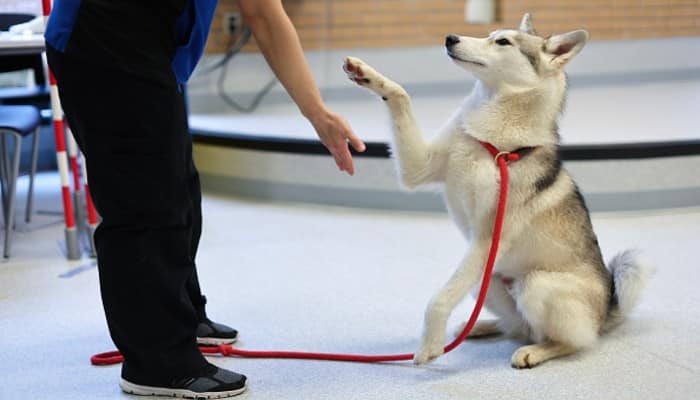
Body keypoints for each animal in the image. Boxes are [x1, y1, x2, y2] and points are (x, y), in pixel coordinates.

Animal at [344, 13, 656, 368]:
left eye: (503, 42)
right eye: (488, 34)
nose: (450, 38)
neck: (494, 144)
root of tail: (605, 313)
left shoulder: (487, 238)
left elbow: (439, 298)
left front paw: (429, 344)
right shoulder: (418, 168)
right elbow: (401, 98)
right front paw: (369, 76)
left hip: (535, 284)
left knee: (571, 340)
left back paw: (536, 351)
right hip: (486, 280)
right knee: (518, 326)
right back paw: (480, 326)